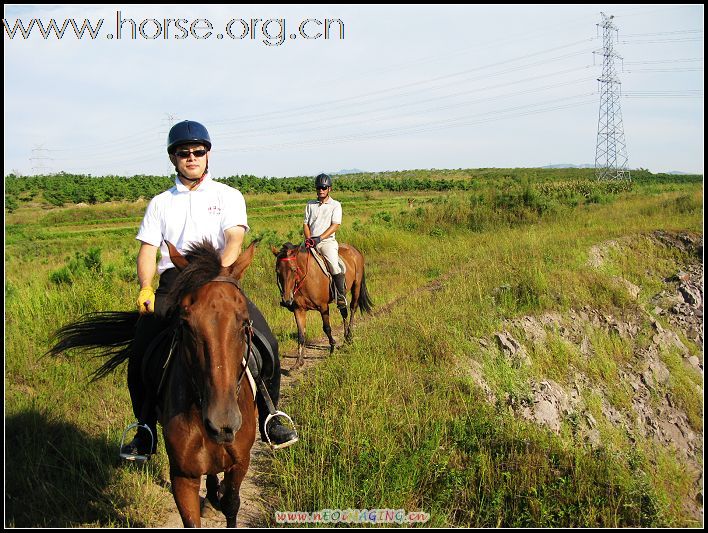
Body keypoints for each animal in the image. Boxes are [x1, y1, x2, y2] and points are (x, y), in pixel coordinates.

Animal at [49, 241, 260, 528]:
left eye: (243, 320)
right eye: (185, 323)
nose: (222, 423)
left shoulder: (240, 464)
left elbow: (231, 504)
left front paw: (218, 499)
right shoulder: (182, 475)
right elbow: (192, 517)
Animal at [270, 240, 374, 368]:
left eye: (294, 269)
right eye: (278, 271)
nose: (287, 300)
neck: (306, 279)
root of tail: (354, 250)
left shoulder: (323, 307)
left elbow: (327, 328)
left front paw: (332, 348)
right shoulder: (299, 309)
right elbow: (301, 334)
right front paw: (298, 362)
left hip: (357, 286)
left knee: (353, 308)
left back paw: (349, 336)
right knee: (344, 312)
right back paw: (345, 339)